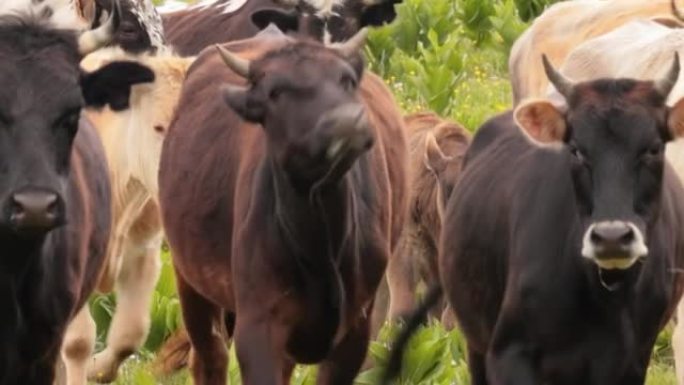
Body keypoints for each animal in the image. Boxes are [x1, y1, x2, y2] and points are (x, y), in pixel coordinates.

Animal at [158, 24, 408, 384]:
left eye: (346, 80)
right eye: (275, 92)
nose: (346, 121)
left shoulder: (356, 328)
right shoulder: (259, 324)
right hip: (188, 278)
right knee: (210, 356)